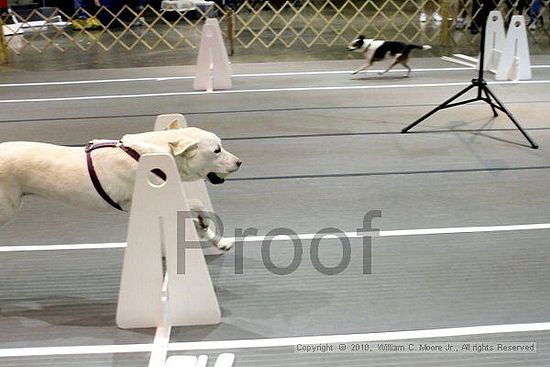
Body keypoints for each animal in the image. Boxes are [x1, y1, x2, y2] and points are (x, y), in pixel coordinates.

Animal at [0, 122, 242, 252]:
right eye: (217, 150)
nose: (240, 162)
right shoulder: (142, 199)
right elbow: (197, 202)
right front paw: (204, 222)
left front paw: (217, 240)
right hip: (7, 209)